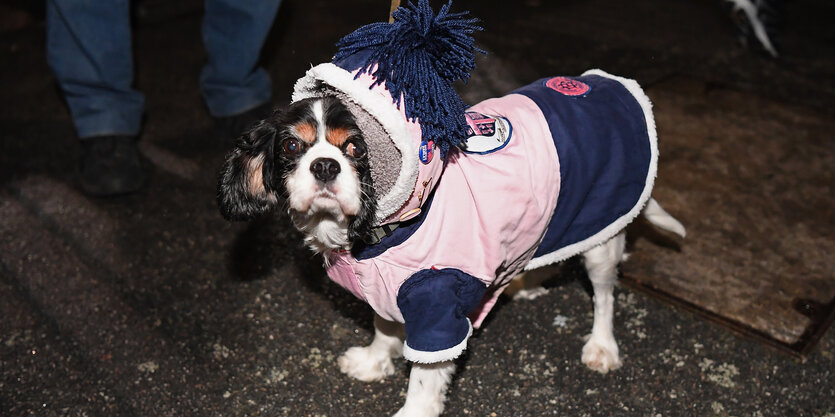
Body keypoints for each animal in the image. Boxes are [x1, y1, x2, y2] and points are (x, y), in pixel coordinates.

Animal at [216, 1, 684, 414]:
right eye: (292, 146)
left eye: (355, 148)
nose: (326, 165)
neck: (380, 236)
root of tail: (607, 81)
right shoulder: (386, 290)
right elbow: (384, 326)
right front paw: (374, 360)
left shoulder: (437, 305)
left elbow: (425, 377)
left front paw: (412, 409)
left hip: (604, 230)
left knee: (604, 295)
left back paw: (601, 346)